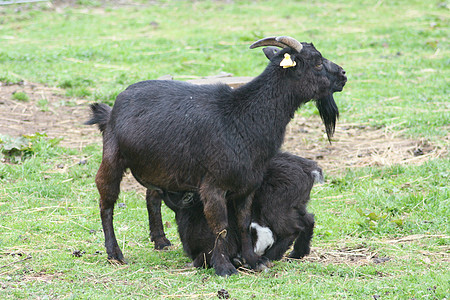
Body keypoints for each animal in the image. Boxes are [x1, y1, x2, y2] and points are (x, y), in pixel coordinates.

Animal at [153, 152, 322, 268]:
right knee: (308, 220)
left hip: (275, 207)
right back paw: (297, 254)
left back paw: (268, 257)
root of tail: (310, 170)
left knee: (292, 229)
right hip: (294, 205)